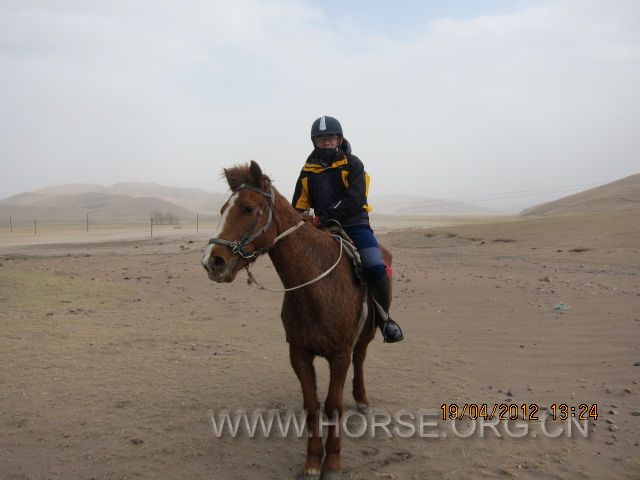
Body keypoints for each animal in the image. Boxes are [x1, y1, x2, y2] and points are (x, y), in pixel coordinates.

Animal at [202, 162, 390, 480]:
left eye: (248, 208)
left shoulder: (340, 354)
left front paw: (333, 463)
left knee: (361, 358)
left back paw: (362, 399)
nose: (212, 262)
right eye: (222, 209)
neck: (316, 287)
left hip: (366, 334)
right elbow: (313, 405)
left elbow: (333, 405)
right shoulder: (299, 354)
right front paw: (313, 462)